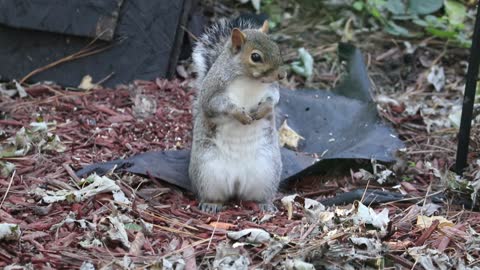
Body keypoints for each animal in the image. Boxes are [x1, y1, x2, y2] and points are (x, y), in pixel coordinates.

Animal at [188, 17, 284, 214]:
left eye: (276, 47)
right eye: (255, 57)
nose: (281, 75)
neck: (249, 80)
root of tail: (237, 182)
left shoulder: (271, 89)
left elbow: (273, 99)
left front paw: (262, 110)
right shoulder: (213, 93)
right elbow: (217, 106)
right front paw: (240, 114)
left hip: (267, 171)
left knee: (259, 195)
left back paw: (265, 204)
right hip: (207, 173)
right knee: (213, 194)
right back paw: (211, 204)